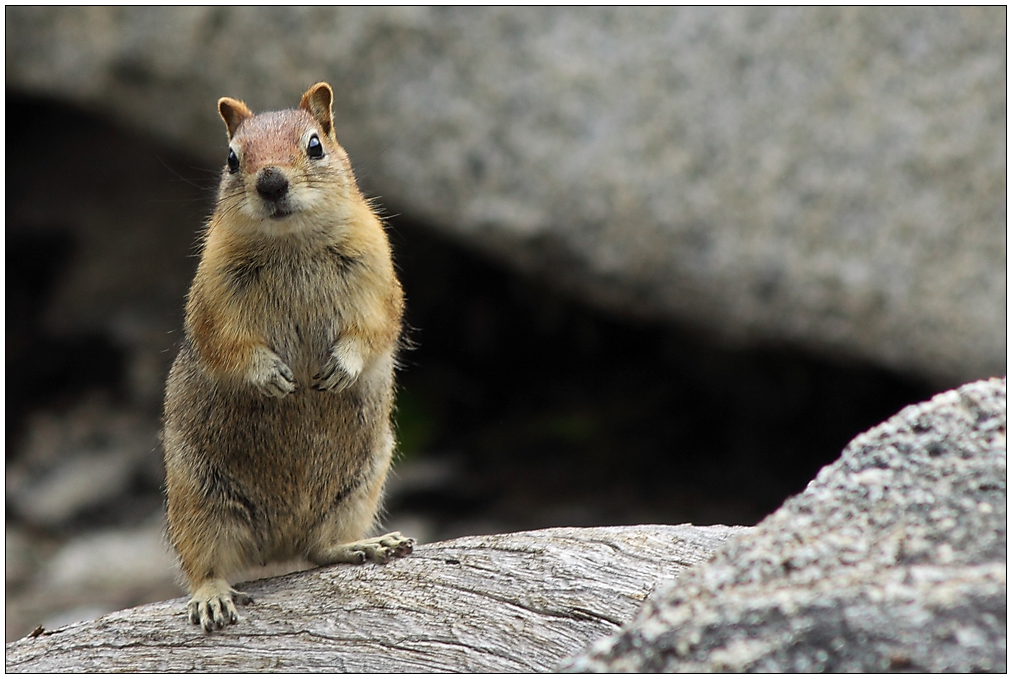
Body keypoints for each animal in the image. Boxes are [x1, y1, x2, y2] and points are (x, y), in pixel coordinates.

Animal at [161, 83, 410, 631]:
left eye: (315, 145)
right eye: (232, 159)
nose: (271, 183)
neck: (291, 241)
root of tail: (276, 547)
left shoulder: (378, 278)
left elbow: (374, 329)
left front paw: (340, 369)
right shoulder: (216, 297)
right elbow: (228, 344)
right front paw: (271, 377)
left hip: (360, 485)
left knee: (318, 549)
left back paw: (365, 545)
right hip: (198, 500)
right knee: (203, 564)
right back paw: (213, 596)